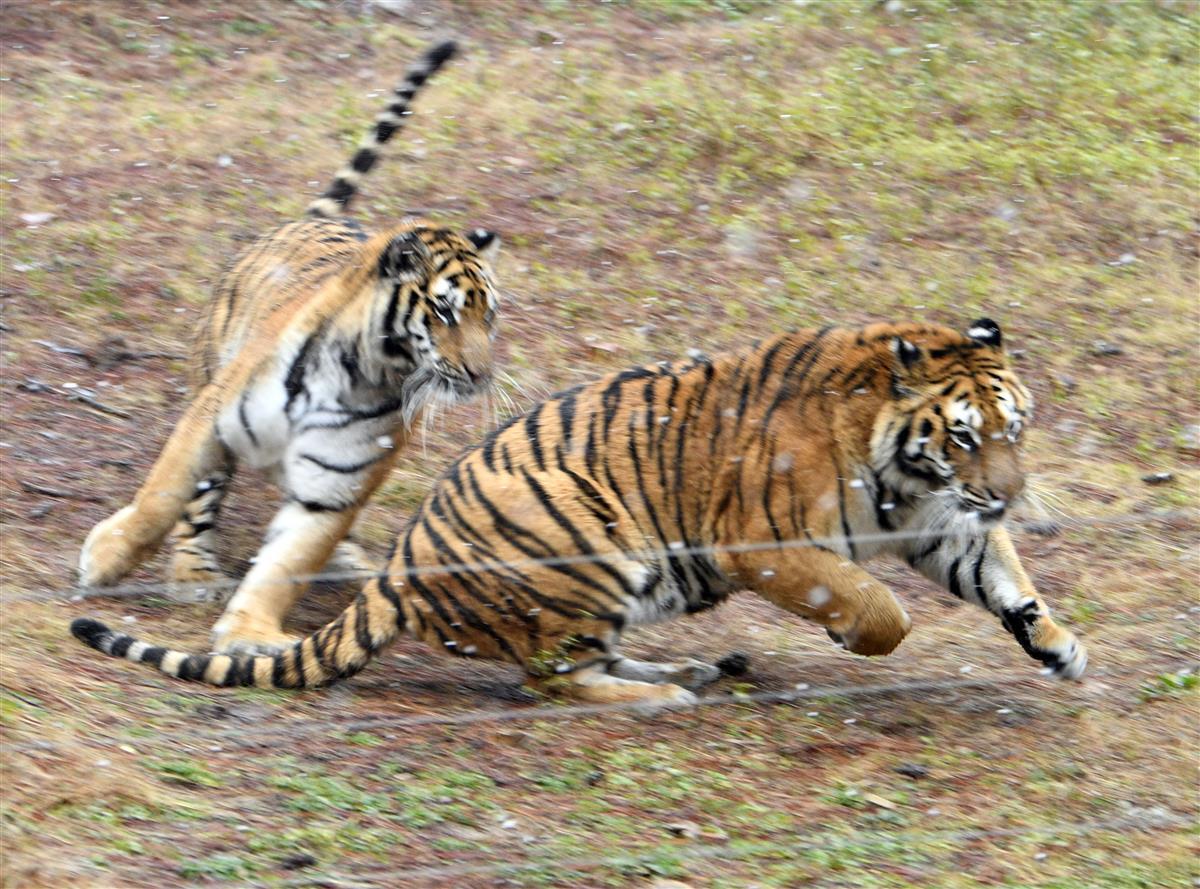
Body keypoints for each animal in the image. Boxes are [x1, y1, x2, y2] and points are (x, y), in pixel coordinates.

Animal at [72, 319, 1089, 700]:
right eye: (965, 437)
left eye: (1015, 427)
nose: (1006, 491)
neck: (906, 468)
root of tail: (401, 565)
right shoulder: (764, 540)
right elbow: (877, 606)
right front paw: (855, 633)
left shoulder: (939, 522)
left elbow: (1002, 580)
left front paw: (1059, 645)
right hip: (588, 536)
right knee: (551, 676)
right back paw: (663, 693)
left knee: (571, 659)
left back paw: (693, 668)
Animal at [76, 38, 501, 657]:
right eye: (445, 312)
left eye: (488, 317)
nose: (478, 374)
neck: (361, 371)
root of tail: (304, 221)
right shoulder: (211, 420)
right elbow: (162, 495)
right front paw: (105, 558)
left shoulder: (337, 483)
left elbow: (291, 556)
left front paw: (250, 635)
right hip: (211, 385)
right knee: (198, 505)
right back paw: (193, 572)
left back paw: (345, 559)